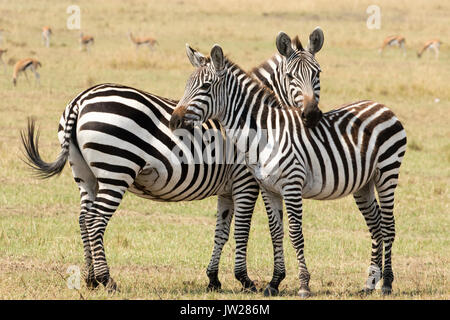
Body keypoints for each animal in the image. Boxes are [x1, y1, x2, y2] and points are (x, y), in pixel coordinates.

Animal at [20, 29, 324, 292]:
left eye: (317, 74)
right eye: (291, 76)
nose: (311, 115)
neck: (251, 117)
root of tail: (80, 101)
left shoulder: (227, 189)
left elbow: (221, 231)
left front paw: (213, 279)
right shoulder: (245, 181)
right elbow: (241, 230)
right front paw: (245, 280)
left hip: (86, 174)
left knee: (84, 218)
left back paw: (90, 278)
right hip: (116, 169)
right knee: (96, 221)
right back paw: (107, 280)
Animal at [169, 43, 408, 298]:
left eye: (205, 86)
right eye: (187, 85)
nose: (174, 122)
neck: (264, 133)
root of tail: (381, 105)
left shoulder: (292, 185)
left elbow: (295, 232)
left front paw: (303, 285)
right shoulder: (268, 188)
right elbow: (276, 232)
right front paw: (274, 283)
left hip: (387, 172)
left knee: (388, 225)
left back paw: (387, 283)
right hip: (363, 184)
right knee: (375, 225)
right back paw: (370, 283)